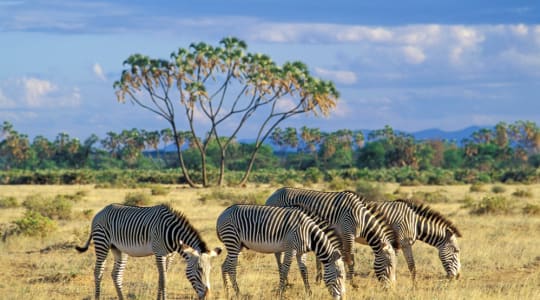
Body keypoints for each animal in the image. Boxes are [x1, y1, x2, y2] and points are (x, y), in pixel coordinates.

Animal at [75, 204, 220, 300]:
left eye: (210, 270)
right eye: (199, 270)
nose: (208, 296)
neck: (173, 234)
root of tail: (100, 211)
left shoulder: (170, 255)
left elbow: (161, 278)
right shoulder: (159, 253)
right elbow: (163, 280)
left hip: (119, 249)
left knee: (116, 275)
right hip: (102, 243)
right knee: (98, 272)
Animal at [215, 203, 346, 298]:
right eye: (340, 275)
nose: (343, 297)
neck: (309, 233)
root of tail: (223, 212)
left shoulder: (301, 252)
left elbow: (304, 271)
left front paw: (309, 293)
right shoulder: (290, 249)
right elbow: (284, 270)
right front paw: (280, 293)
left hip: (238, 245)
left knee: (224, 266)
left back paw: (227, 292)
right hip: (232, 240)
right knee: (231, 268)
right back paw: (238, 293)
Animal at [266, 186, 400, 284]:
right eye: (390, 265)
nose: (392, 287)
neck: (360, 217)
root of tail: (274, 193)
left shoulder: (344, 235)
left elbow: (344, 256)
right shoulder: (347, 233)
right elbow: (351, 259)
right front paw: (352, 283)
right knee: (278, 254)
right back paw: (286, 280)